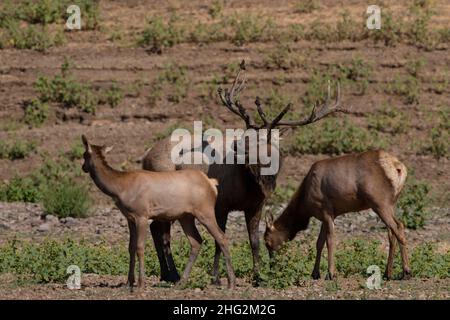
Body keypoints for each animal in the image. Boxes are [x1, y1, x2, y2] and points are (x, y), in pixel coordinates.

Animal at [81, 135, 236, 290]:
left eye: (84, 155)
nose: (83, 167)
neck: (120, 188)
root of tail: (212, 183)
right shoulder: (129, 217)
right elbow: (131, 247)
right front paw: (128, 282)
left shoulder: (142, 214)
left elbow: (140, 247)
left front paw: (141, 283)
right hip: (186, 216)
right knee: (196, 241)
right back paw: (181, 282)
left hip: (205, 211)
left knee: (221, 237)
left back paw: (231, 282)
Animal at [142, 58, 352, 284]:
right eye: (248, 139)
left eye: (269, 145)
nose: (238, 147)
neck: (250, 187)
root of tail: (145, 156)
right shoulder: (222, 204)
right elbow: (219, 240)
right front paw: (216, 277)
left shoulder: (256, 206)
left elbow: (254, 241)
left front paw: (258, 275)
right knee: (161, 231)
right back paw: (171, 273)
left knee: (156, 228)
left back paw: (168, 273)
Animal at [266, 150, 414, 280]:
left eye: (267, 242)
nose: (272, 266)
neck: (305, 207)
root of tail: (398, 168)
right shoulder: (327, 215)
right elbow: (319, 242)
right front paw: (315, 273)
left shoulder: (326, 210)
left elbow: (330, 240)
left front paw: (331, 274)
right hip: (390, 203)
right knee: (392, 232)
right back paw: (387, 273)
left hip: (379, 202)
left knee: (398, 227)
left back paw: (406, 272)